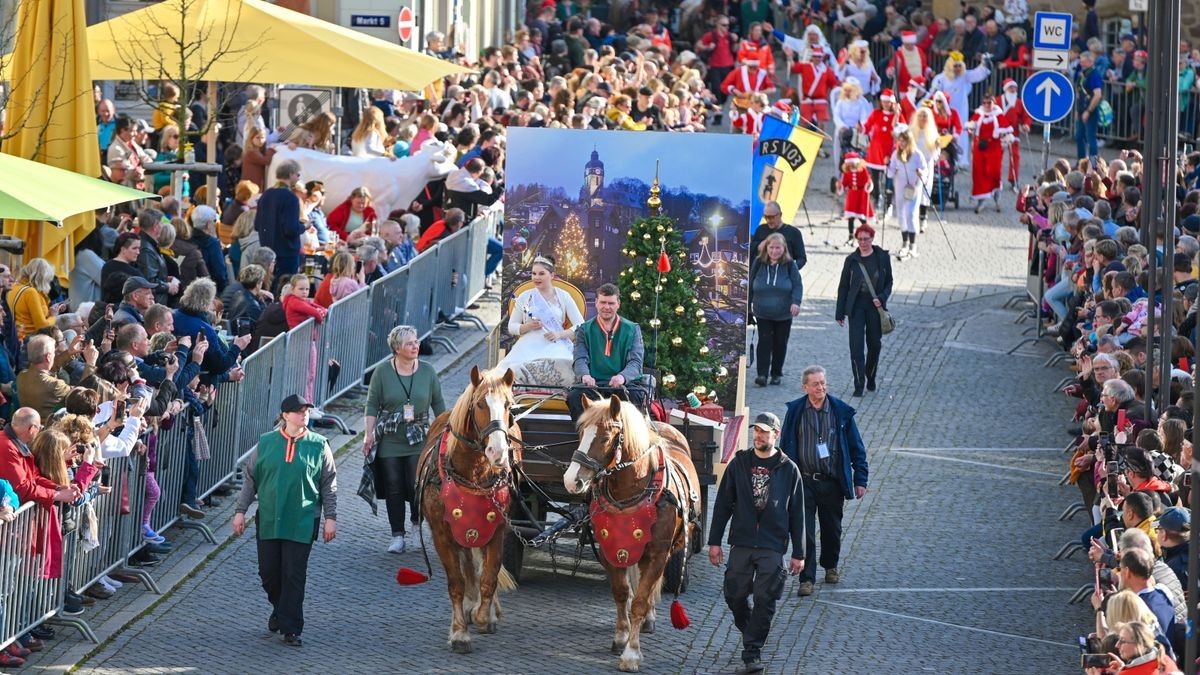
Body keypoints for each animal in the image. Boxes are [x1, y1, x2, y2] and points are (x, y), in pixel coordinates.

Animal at [417, 362, 520, 653]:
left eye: (508, 405)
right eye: (481, 404)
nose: (498, 452)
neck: (473, 473)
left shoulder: (497, 529)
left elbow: (490, 575)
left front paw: (485, 615)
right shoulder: (442, 533)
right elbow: (457, 583)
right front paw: (459, 632)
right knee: (467, 565)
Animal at [564, 393, 700, 667]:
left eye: (605, 438)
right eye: (581, 432)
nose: (571, 480)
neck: (631, 491)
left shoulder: (658, 553)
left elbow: (639, 601)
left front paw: (632, 653)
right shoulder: (610, 549)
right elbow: (621, 592)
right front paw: (621, 636)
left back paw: (649, 618)